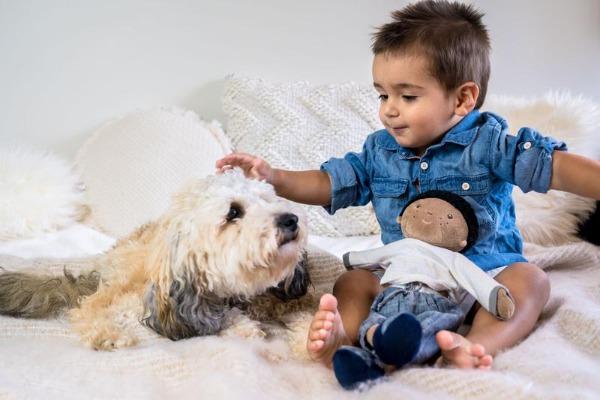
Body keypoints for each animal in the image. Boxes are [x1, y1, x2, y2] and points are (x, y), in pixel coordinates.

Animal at [0, 169, 309, 350]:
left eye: (268, 199)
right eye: (233, 212)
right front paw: (244, 326)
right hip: (121, 282)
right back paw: (108, 334)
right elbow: (218, 318)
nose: (291, 219)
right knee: (87, 305)